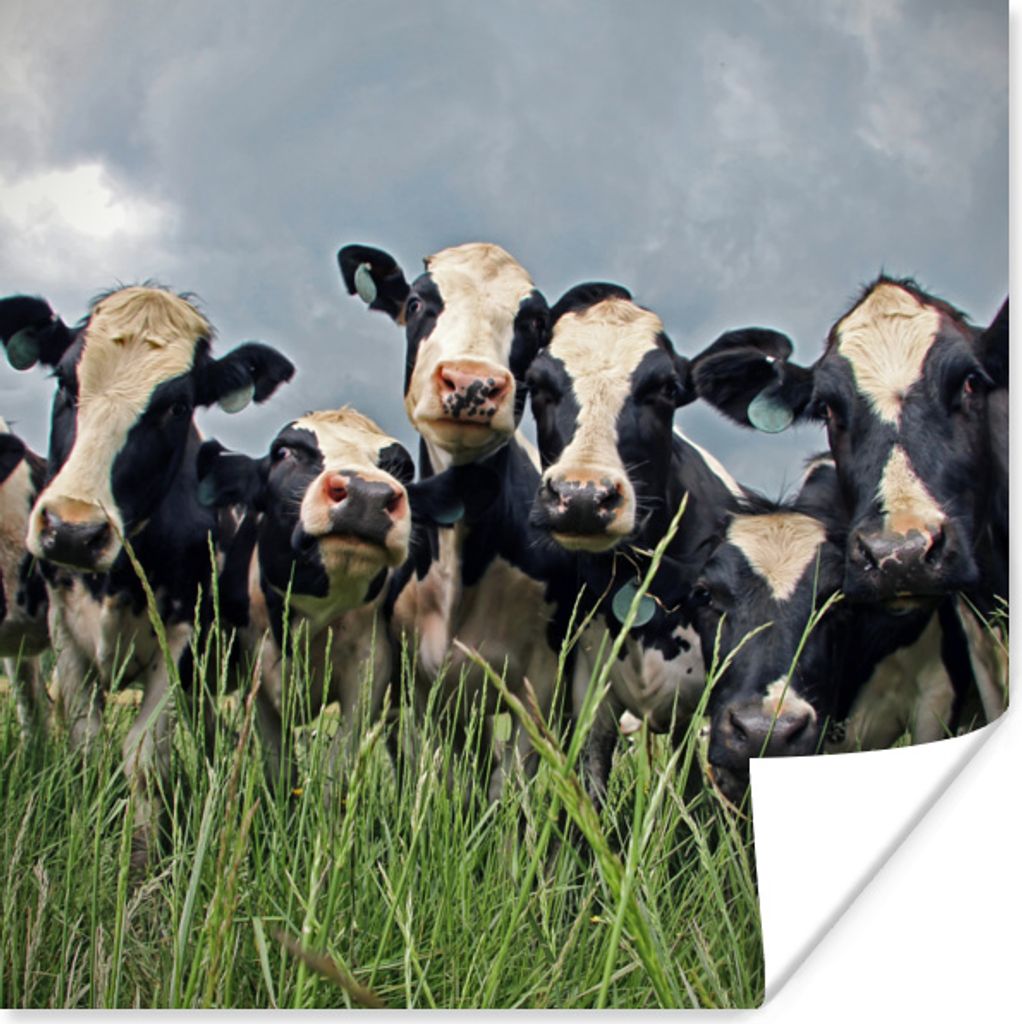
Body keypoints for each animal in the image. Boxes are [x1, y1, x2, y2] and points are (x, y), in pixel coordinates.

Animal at [0, 285, 294, 869]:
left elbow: (143, 757)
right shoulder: (67, 635)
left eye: (176, 406)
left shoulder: (178, 641)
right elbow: (86, 744)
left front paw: (139, 861)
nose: (73, 531)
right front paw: (88, 836)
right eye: (66, 382)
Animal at [195, 406, 494, 791]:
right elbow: (280, 770)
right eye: (284, 452)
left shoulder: (370, 668)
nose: (367, 494)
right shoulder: (256, 676)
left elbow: (335, 769)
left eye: (401, 469)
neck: (310, 616)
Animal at [337, 241, 575, 798]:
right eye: (417, 303)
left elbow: (511, 791)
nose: (472, 383)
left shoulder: (541, 679)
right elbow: (440, 780)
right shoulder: (419, 682)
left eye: (534, 321)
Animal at [524, 282, 745, 803]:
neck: (636, 574)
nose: (583, 497)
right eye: (537, 385)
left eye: (666, 388)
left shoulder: (709, 709)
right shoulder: (589, 694)